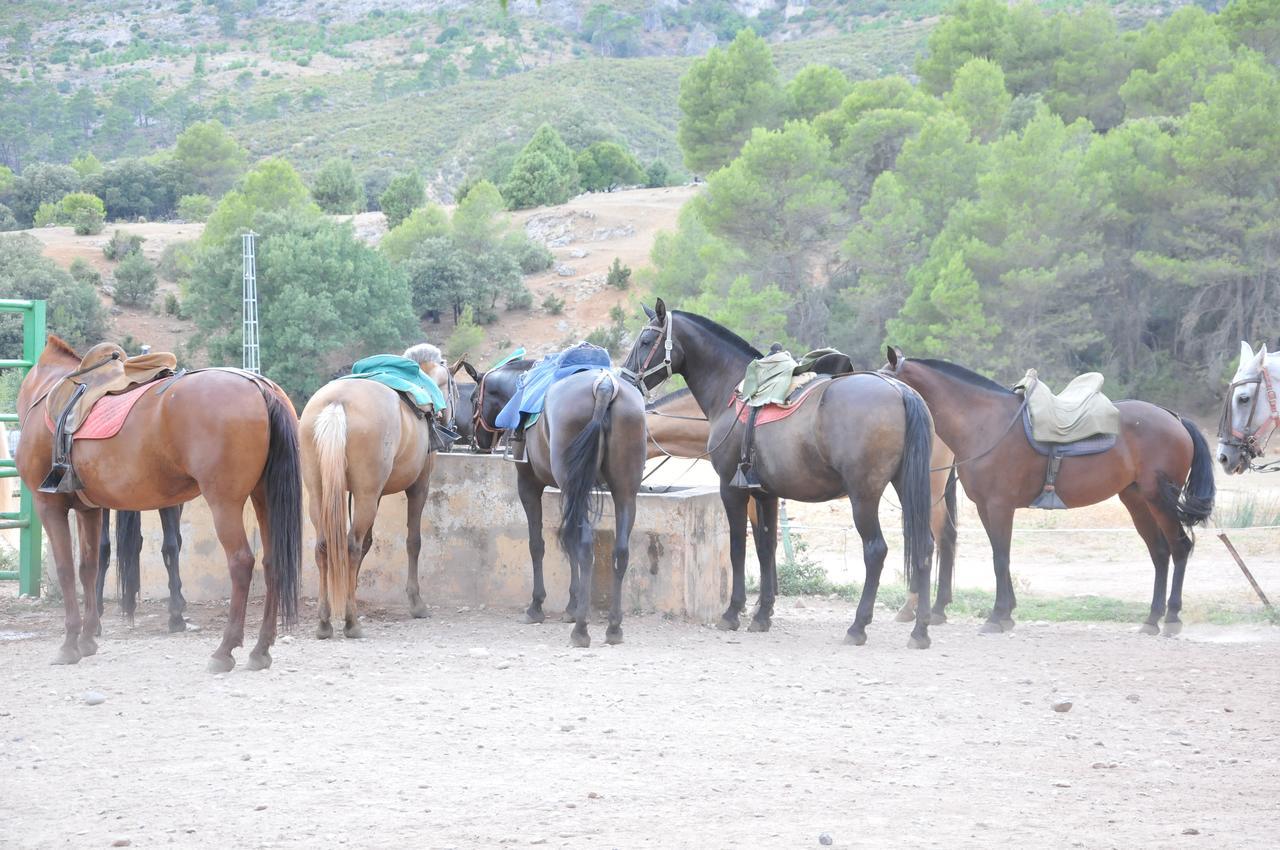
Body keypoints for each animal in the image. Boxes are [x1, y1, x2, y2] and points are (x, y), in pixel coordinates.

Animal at [16, 335, 300, 675]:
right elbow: (89, 568)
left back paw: (224, 649)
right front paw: (86, 639)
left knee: (241, 562)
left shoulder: (49, 505)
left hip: (224, 502)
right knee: (272, 563)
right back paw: (260, 649)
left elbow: (66, 570)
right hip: (264, 497)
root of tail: (261, 387)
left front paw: (70, 643)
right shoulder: (90, 509)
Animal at [299, 343, 455, 637]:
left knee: (324, 546)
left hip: (321, 494)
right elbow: (413, 541)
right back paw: (351, 622)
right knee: (350, 545)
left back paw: (325, 621)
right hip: (366, 496)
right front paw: (416, 603)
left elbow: (368, 542)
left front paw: (352, 590)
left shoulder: (372, 493)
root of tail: (338, 403)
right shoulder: (418, 486)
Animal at [885, 348, 1213, 637]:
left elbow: (1000, 559)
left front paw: (996, 616)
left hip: (1159, 500)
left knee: (1179, 548)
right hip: (1137, 500)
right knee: (1160, 553)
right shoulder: (985, 507)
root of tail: (1175, 418)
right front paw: (1007, 614)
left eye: (887, 379)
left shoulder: (999, 505)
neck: (986, 424)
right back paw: (1152, 619)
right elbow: (1000, 556)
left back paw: (1171, 618)